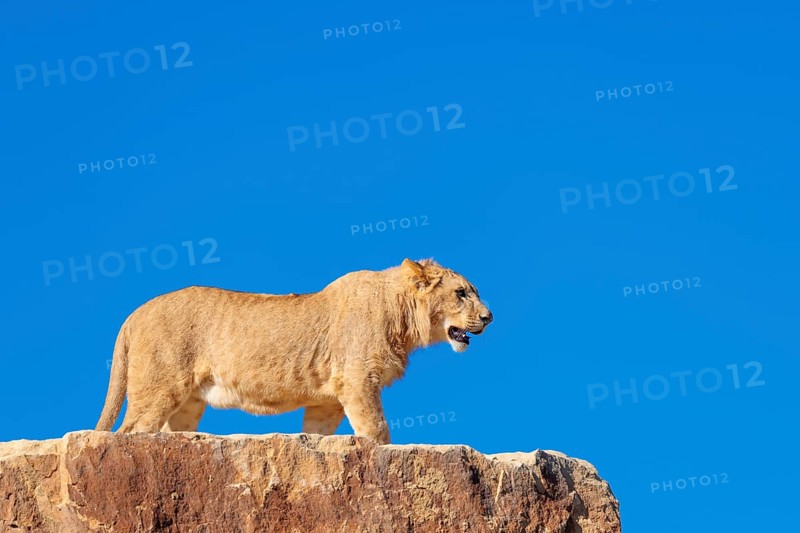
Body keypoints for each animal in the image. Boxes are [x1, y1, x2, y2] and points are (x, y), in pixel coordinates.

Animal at [95, 258, 493, 444]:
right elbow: (376, 429)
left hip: (187, 402)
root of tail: (134, 313)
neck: (403, 319)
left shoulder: (329, 398)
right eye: (461, 293)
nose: (489, 317)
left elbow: (319, 434)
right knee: (128, 431)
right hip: (160, 387)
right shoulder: (358, 379)